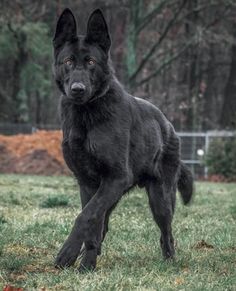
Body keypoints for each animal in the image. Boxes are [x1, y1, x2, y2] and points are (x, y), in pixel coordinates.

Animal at [52, 8, 193, 272]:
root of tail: (168, 125)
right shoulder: (88, 184)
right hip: (113, 194)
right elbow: (92, 221)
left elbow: (85, 216)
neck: (87, 114)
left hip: (160, 198)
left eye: (91, 62)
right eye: (68, 62)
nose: (77, 89)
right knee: (103, 224)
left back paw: (170, 260)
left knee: (166, 233)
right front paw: (86, 264)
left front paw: (68, 255)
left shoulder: (115, 178)